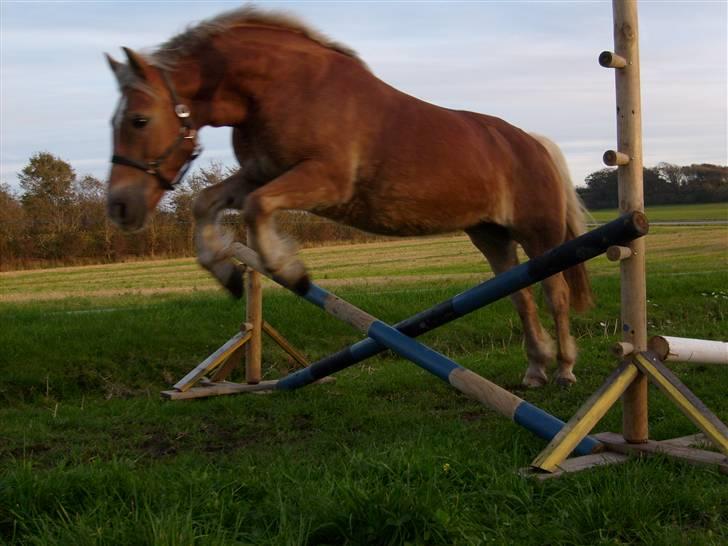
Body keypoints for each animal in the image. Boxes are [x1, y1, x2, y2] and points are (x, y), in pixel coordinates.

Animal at [106, 5, 592, 386]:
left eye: (138, 120)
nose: (120, 208)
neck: (284, 87)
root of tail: (532, 142)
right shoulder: (260, 173)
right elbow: (205, 203)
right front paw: (225, 272)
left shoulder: (320, 179)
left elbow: (257, 209)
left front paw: (291, 271)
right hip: (491, 236)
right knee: (521, 296)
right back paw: (535, 369)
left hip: (540, 234)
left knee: (554, 293)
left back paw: (565, 368)